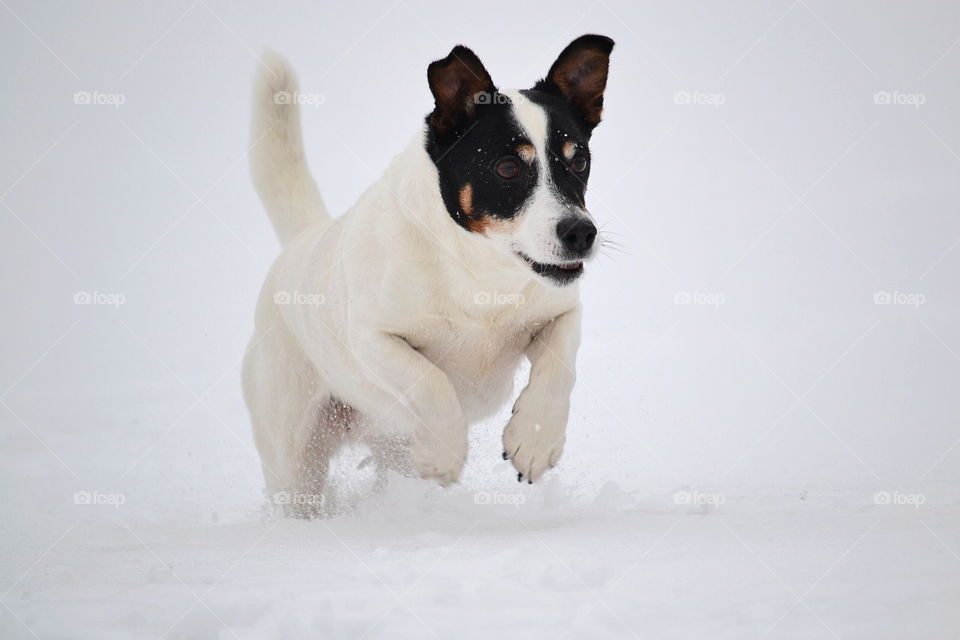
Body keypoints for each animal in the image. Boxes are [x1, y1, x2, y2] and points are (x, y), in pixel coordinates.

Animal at [242, 33, 616, 516]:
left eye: (579, 160)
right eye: (508, 167)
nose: (581, 232)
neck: (481, 276)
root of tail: (301, 240)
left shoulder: (562, 311)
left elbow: (560, 367)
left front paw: (534, 440)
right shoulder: (373, 337)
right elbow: (429, 380)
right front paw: (444, 453)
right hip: (293, 450)